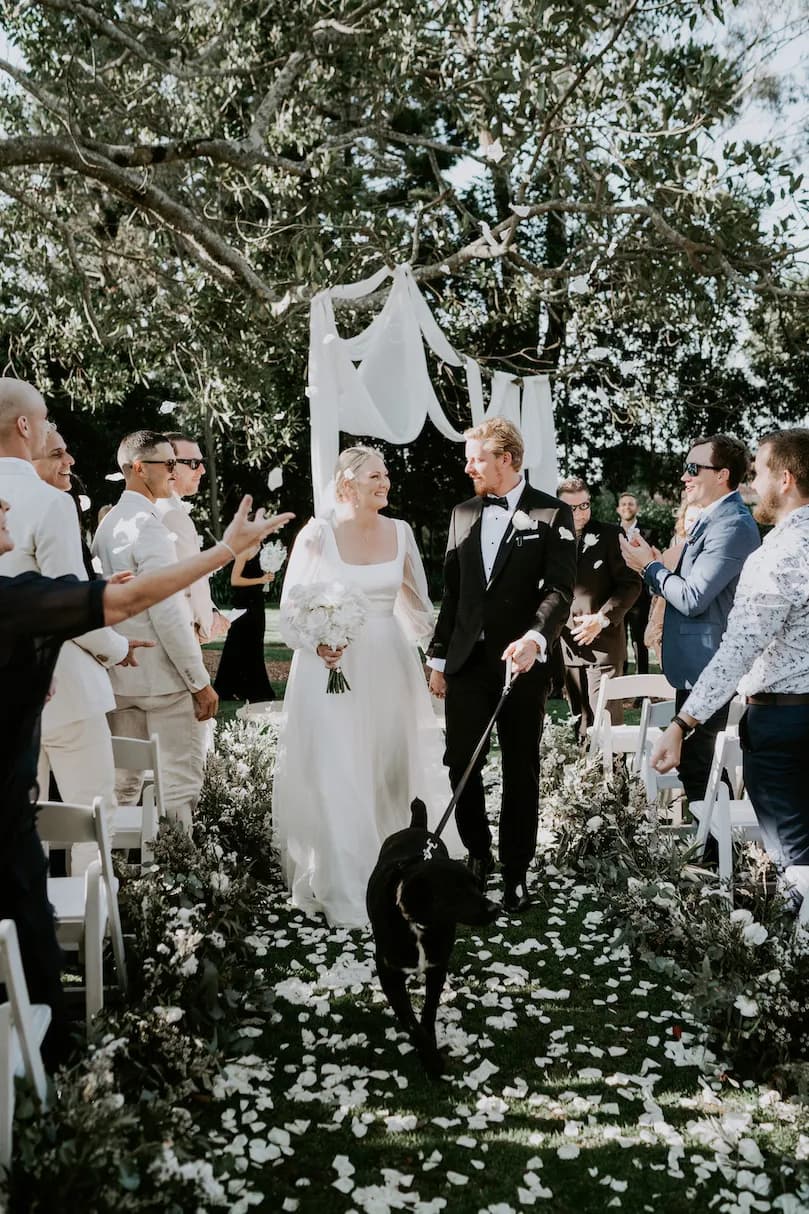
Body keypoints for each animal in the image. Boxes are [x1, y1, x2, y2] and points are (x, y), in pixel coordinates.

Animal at [364, 801, 498, 1078]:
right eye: (456, 890)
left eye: (475, 883)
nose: (496, 909)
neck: (417, 924)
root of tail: (417, 828)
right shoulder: (390, 977)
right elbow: (411, 1023)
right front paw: (431, 1059)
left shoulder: (437, 967)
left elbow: (429, 1011)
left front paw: (432, 1045)